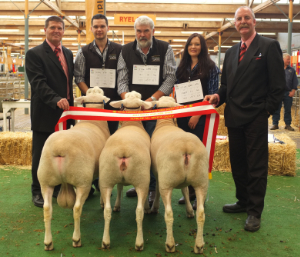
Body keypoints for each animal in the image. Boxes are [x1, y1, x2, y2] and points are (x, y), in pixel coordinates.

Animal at [37, 86, 110, 250]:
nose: (95, 87)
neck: (93, 120)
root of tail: (60, 148)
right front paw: (102, 203)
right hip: (82, 180)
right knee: (77, 209)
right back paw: (76, 239)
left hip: (46, 180)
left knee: (47, 209)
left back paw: (48, 242)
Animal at [99, 90, 152, 250]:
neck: (131, 122)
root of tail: (123, 150)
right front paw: (148, 207)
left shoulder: (118, 179)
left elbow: (120, 187)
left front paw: (117, 205)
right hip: (142, 179)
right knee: (139, 212)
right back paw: (139, 242)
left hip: (106, 179)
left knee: (107, 211)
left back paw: (105, 241)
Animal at [150, 95, 209, 252]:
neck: (165, 123)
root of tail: (186, 147)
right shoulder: (184, 181)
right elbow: (185, 191)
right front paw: (189, 211)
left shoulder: (158, 174)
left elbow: (156, 190)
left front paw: (154, 208)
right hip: (201, 181)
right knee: (201, 213)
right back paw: (199, 245)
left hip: (167, 181)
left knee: (169, 214)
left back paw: (170, 244)